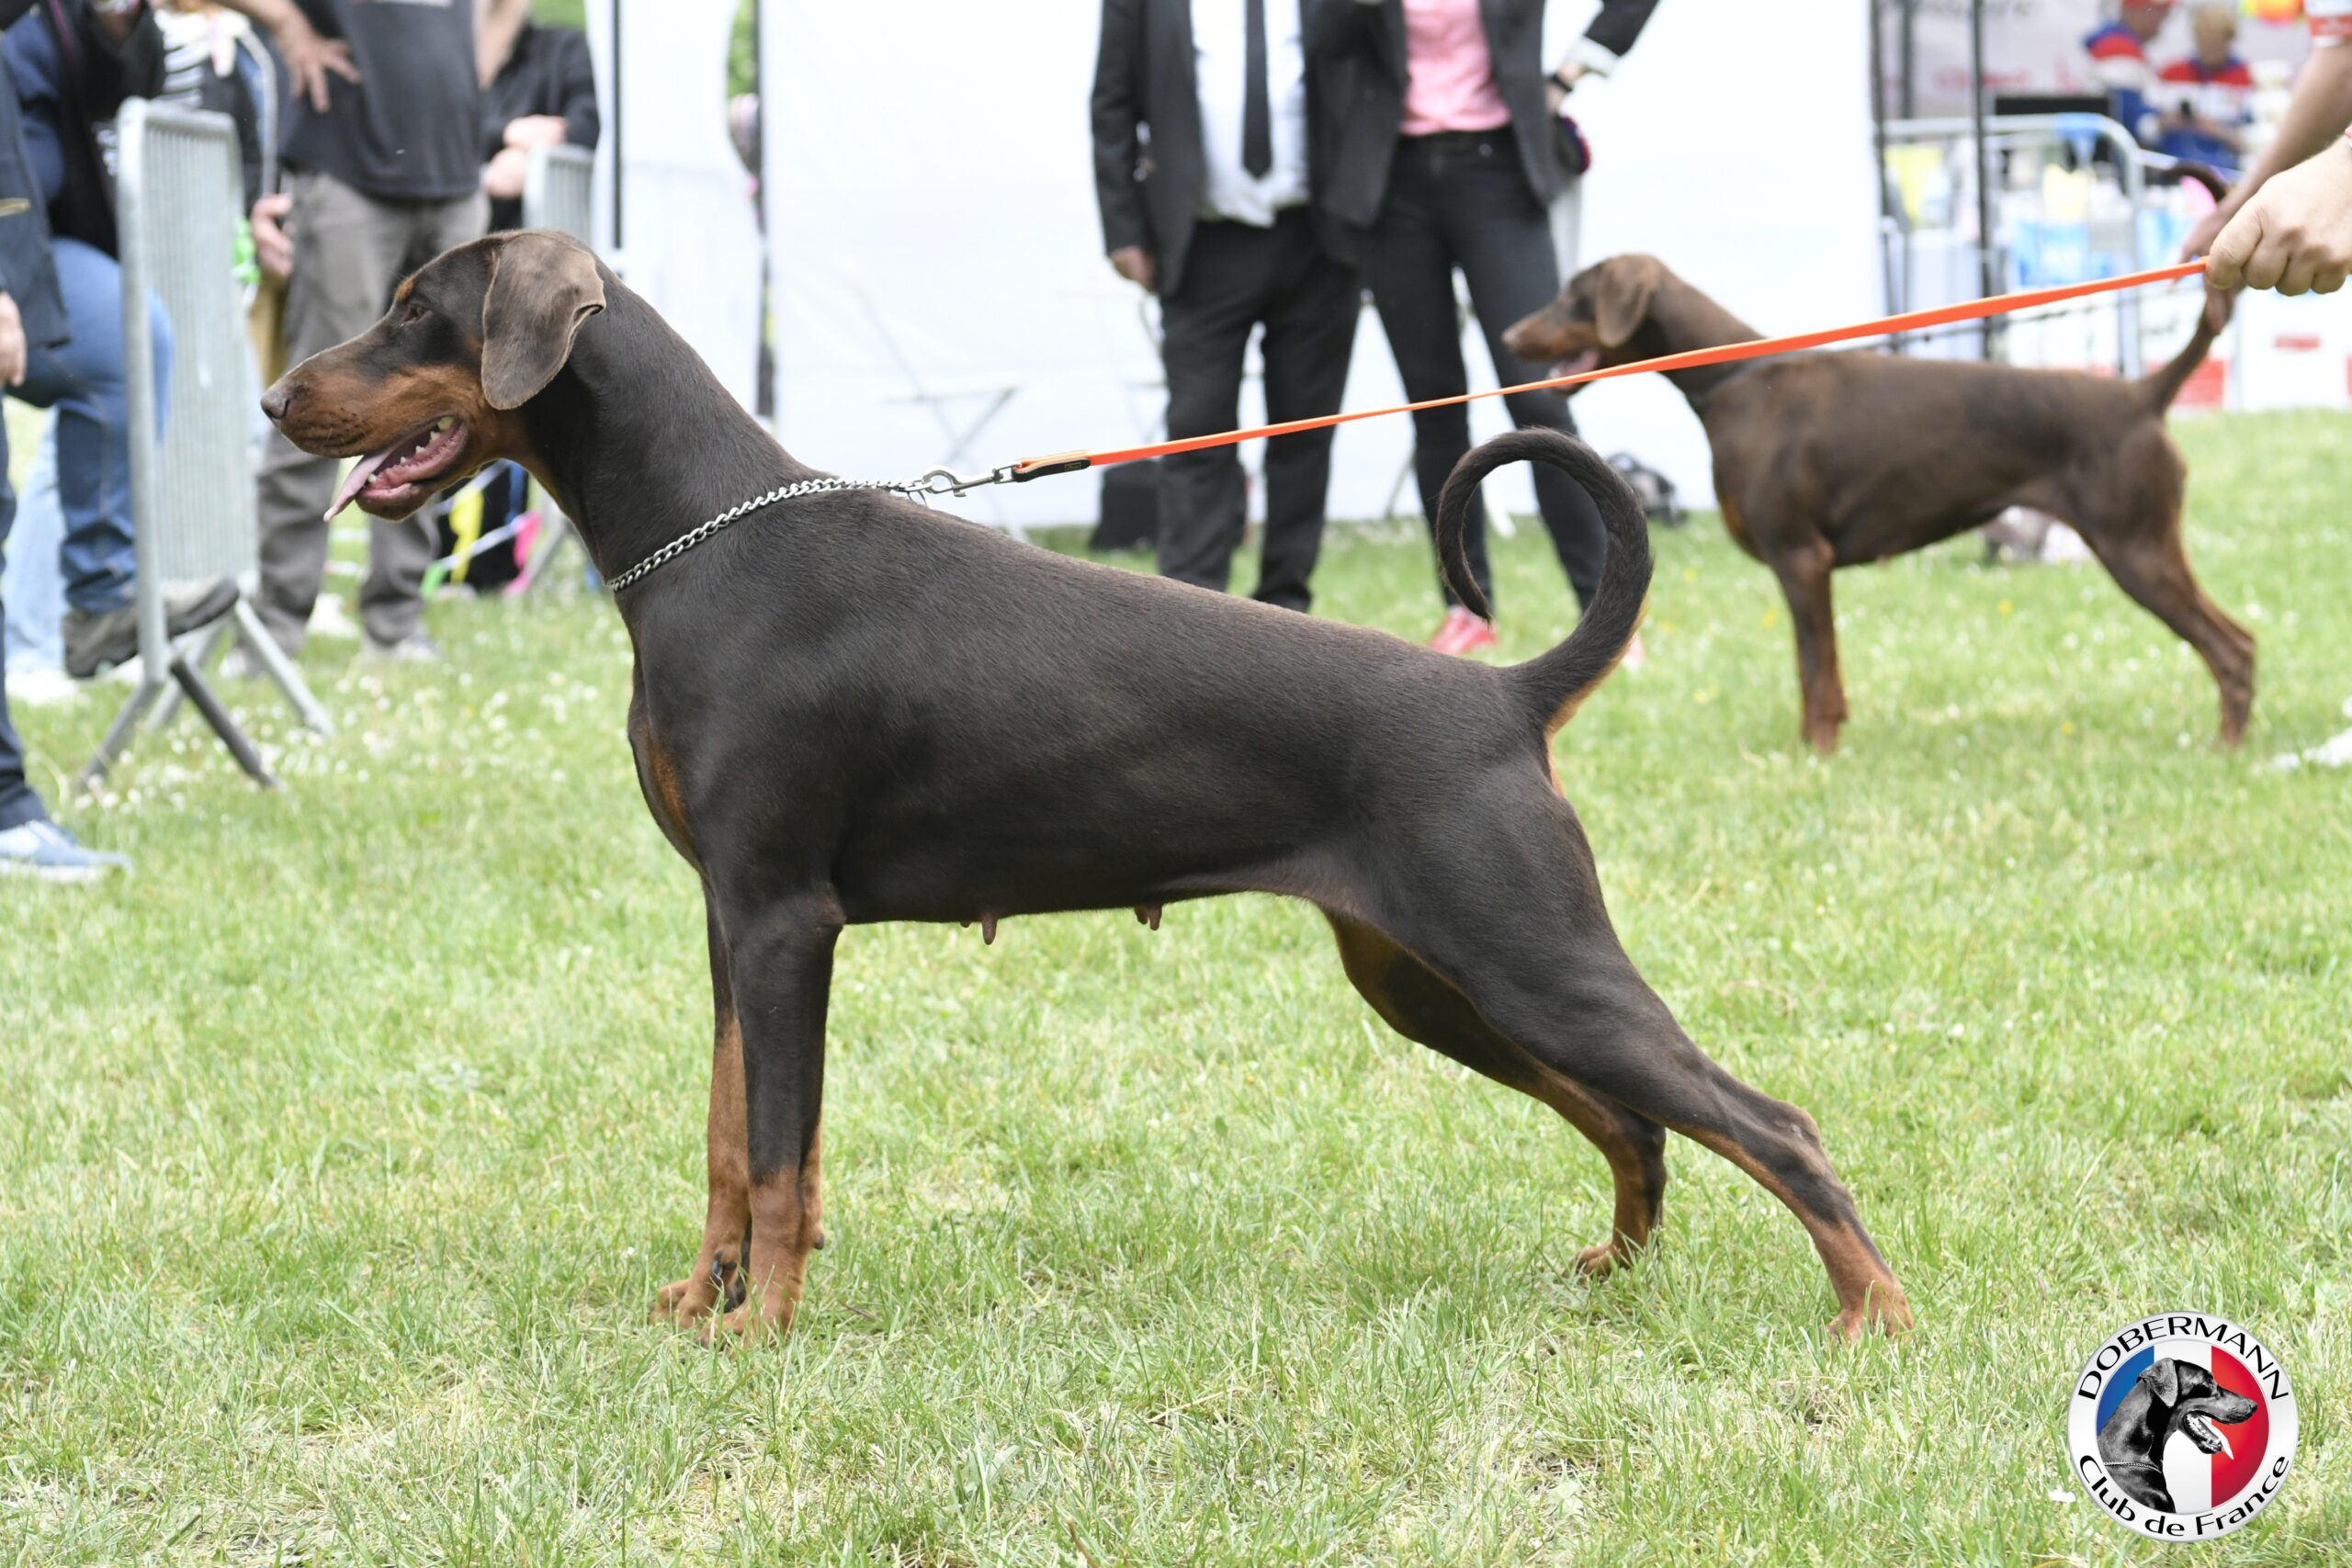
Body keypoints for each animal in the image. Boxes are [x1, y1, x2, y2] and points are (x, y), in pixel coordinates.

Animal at [258, 230, 1912, 1343]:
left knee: (1770, 1121)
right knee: (1638, 1121)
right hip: (1429, 975)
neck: (703, 536)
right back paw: (1618, 1267)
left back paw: (1874, 1319)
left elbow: (782, 1153)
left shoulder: (785, 918)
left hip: (1526, 949)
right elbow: (733, 1135)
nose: (273, 398)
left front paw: (763, 1329)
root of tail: (1502, 695)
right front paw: (700, 1297)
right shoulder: (728, 921)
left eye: (414, 308)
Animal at [1502, 255, 2252, 754]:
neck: (1740, 381)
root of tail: (2143, 394)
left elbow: (1817, 673)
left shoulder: (1801, 558)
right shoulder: (1803, 567)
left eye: (1572, 297)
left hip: (2137, 546)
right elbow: (1816, 673)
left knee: (2233, 647)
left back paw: (2227, 748)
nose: (1507, 336)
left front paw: (1816, 754)